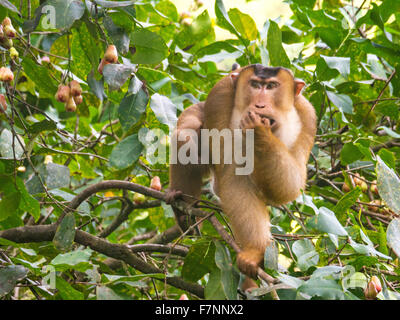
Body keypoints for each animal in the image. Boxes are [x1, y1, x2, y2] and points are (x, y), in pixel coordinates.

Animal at [168, 63, 316, 288]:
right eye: (255, 84)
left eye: (271, 86)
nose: (260, 105)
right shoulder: (219, 98)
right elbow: (233, 178)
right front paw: (256, 250)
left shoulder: (308, 117)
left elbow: (290, 187)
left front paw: (259, 131)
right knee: (185, 136)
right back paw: (183, 209)